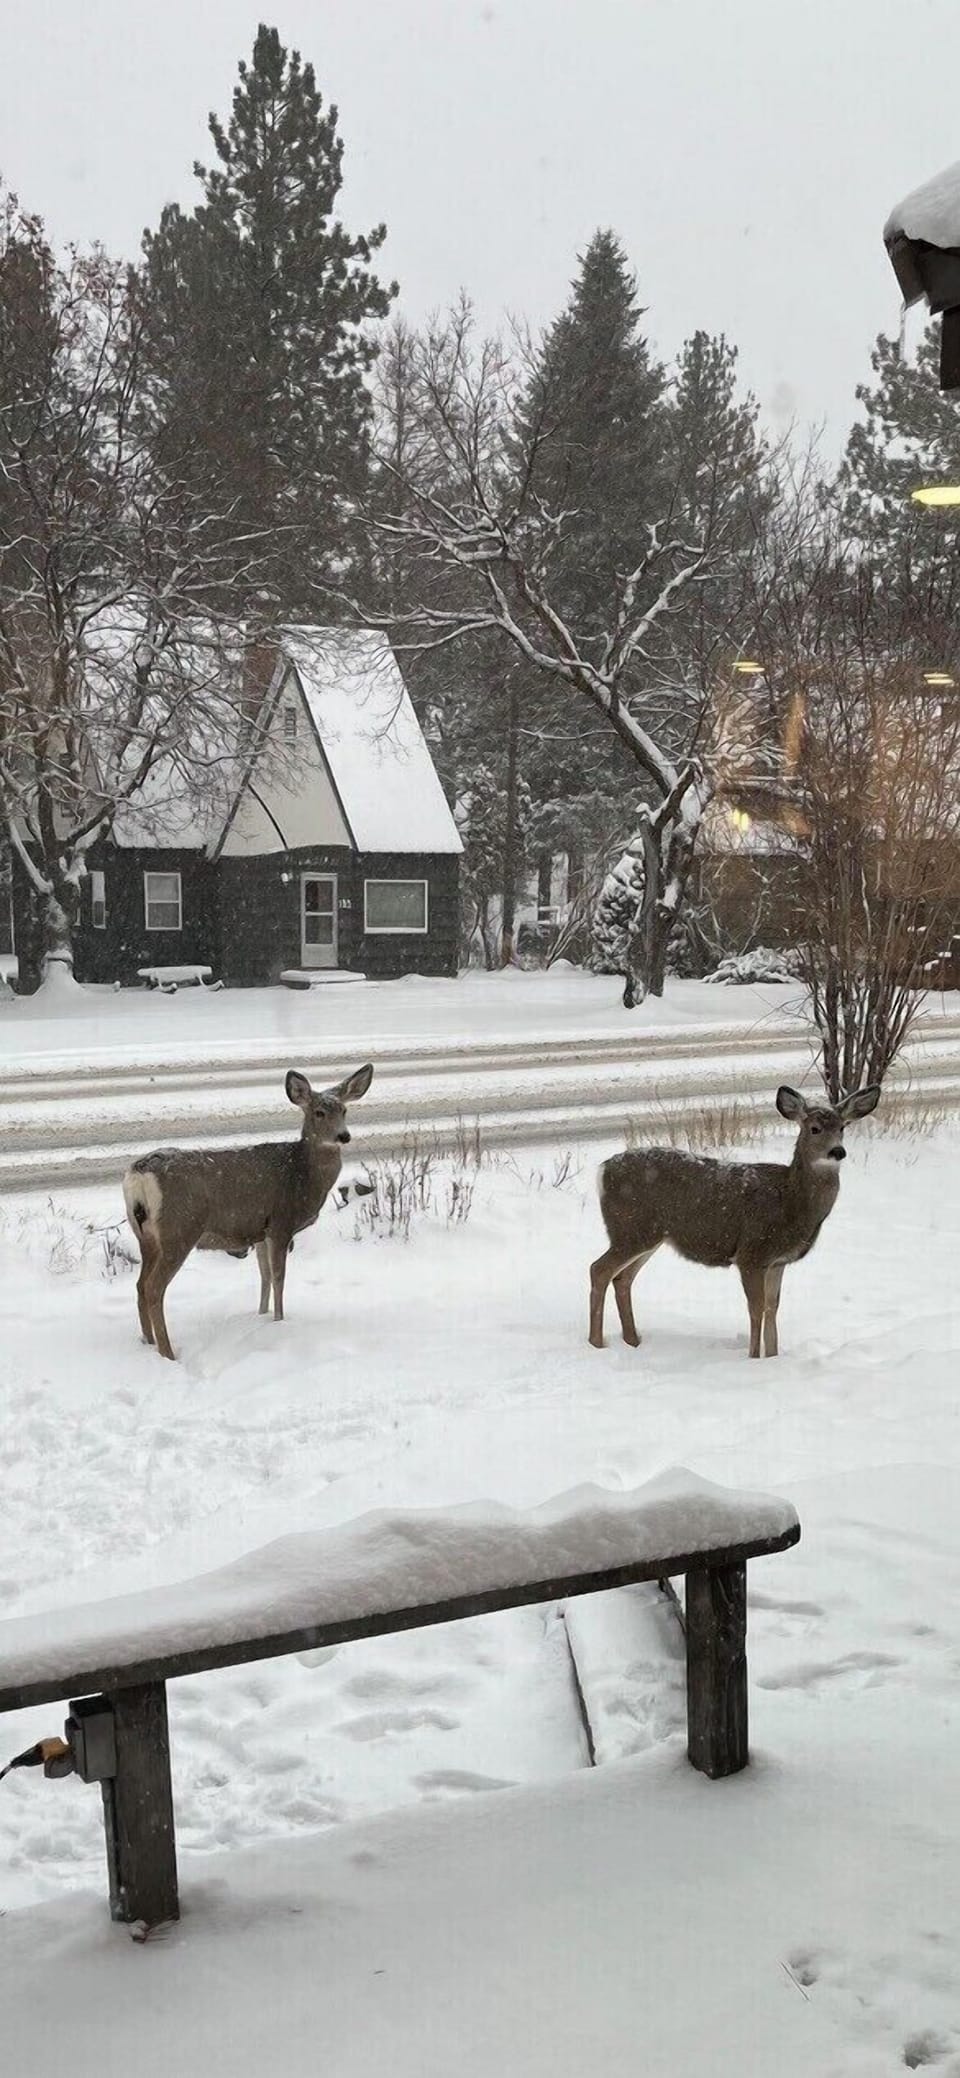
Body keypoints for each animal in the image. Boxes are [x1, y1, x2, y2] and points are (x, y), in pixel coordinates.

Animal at [122, 1064, 374, 1361]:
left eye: (344, 1110)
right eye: (319, 1112)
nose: (343, 1136)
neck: (302, 1174)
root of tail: (139, 1173)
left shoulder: (260, 1231)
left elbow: (264, 1276)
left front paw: (261, 1317)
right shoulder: (281, 1223)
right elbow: (278, 1278)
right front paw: (279, 1321)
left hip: (146, 1236)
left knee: (140, 1285)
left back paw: (147, 1342)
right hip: (180, 1229)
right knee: (154, 1288)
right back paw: (168, 1353)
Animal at [588, 1083, 880, 1360]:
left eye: (842, 1127)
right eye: (815, 1128)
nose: (838, 1151)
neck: (790, 1202)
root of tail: (602, 1170)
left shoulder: (778, 1262)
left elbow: (773, 1308)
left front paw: (773, 1357)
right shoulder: (751, 1253)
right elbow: (756, 1308)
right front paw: (753, 1359)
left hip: (649, 1235)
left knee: (622, 1278)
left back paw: (632, 1341)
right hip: (630, 1229)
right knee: (599, 1269)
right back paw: (596, 1344)